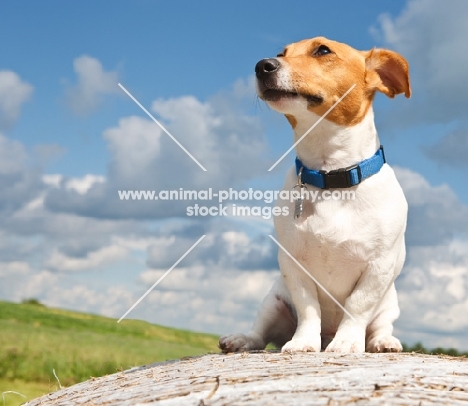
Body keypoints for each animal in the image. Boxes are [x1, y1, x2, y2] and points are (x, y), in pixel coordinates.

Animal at [218, 37, 410, 352]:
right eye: (282, 53)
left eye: (322, 50)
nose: (262, 65)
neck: (331, 175)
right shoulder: (293, 264)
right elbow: (308, 308)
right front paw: (303, 342)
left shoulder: (379, 266)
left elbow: (357, 305)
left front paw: (346, 343)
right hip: (273, 301)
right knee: (260, 333)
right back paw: (241, 339)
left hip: (390, 304)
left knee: (380, 326)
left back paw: (382, 341)